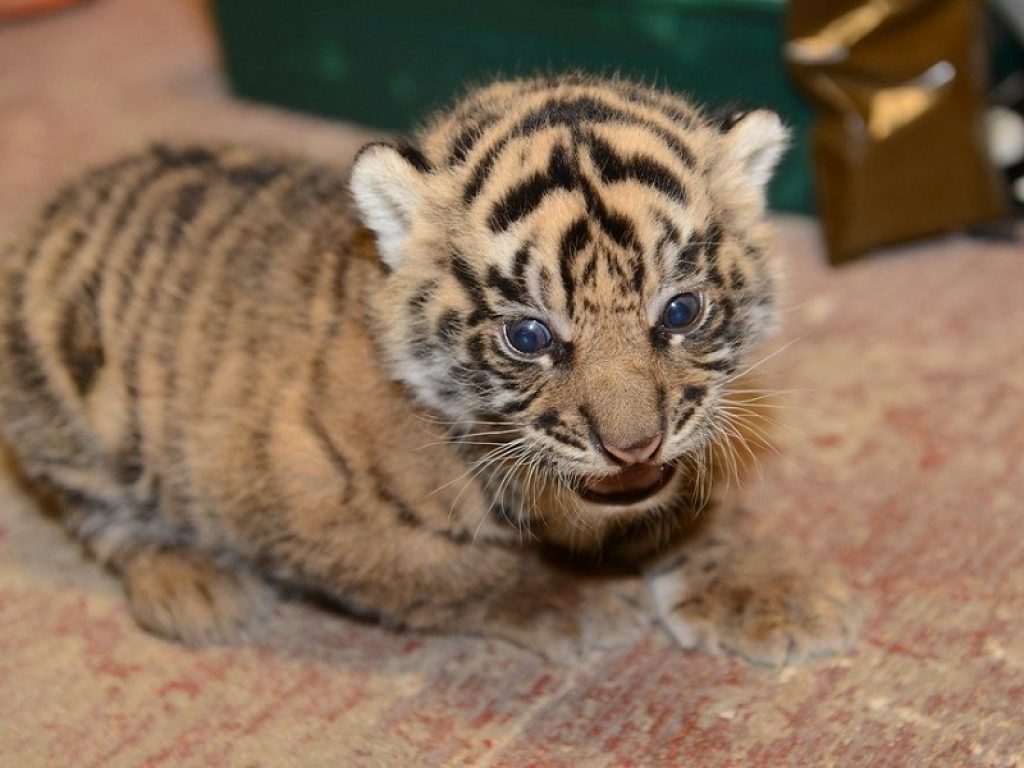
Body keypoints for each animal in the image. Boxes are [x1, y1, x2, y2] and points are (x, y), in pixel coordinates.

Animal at [0, 74, 860, 665]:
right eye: (528, 335)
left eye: (680, 313)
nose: (632, 446)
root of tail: (70, 196)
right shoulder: (303, 505)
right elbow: (453, 572)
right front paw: (581, 604)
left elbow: (697, 509)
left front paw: (771, 596)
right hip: (66, 412)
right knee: (105, 517)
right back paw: (196, 590)